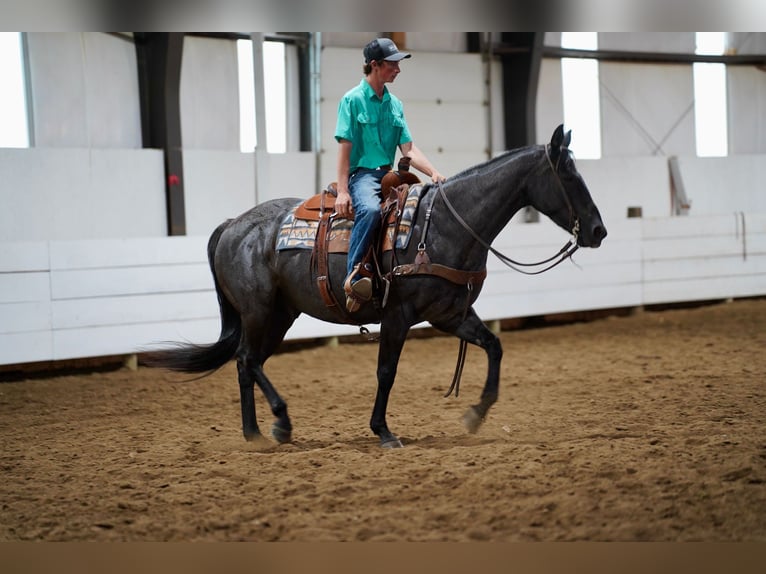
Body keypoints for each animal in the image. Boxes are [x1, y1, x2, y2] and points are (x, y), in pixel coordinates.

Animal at [147, 126, 608, 450]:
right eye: (570, 176)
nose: (599, 231)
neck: (444, 225)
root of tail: (232, 225)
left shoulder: (449, 314)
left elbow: (493, 346)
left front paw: (476, 414)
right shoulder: (399, 315)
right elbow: (386, 372)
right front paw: (383, 431)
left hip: (281, 313)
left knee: (249, 363)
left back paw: (255, 433)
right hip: (259, 310)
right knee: (246, 359)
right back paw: (279, 422)